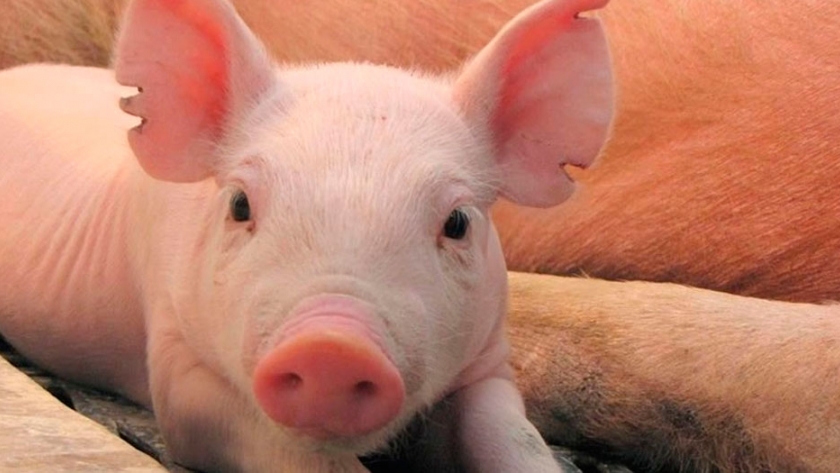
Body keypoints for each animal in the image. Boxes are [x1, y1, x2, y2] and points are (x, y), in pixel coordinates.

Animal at [0, 0, 614, 471]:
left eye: (458, 222)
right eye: (240, 205)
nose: (333, 346)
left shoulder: (489, 360)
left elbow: (515, 438)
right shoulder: (176, 366)